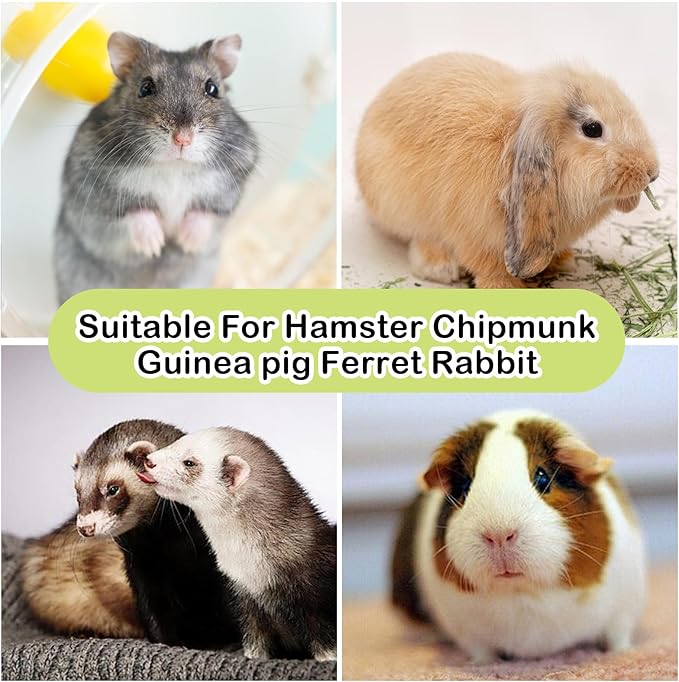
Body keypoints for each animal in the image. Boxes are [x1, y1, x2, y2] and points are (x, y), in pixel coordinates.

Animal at [355, 54, 660, 288]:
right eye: (592, 129)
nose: (651, 171)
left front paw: (562, 261)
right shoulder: (473, 233)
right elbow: (487, 264)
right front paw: (507, 287)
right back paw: (438, 267)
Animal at [391, 409, 645, 662]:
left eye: (543, 478)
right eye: (465, 486)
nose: (499, 534)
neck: (522, 592)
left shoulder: (623, 609)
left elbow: (618, 636)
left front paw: (623, 653)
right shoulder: (465, 630)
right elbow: (481, 651)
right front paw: (484, 664)